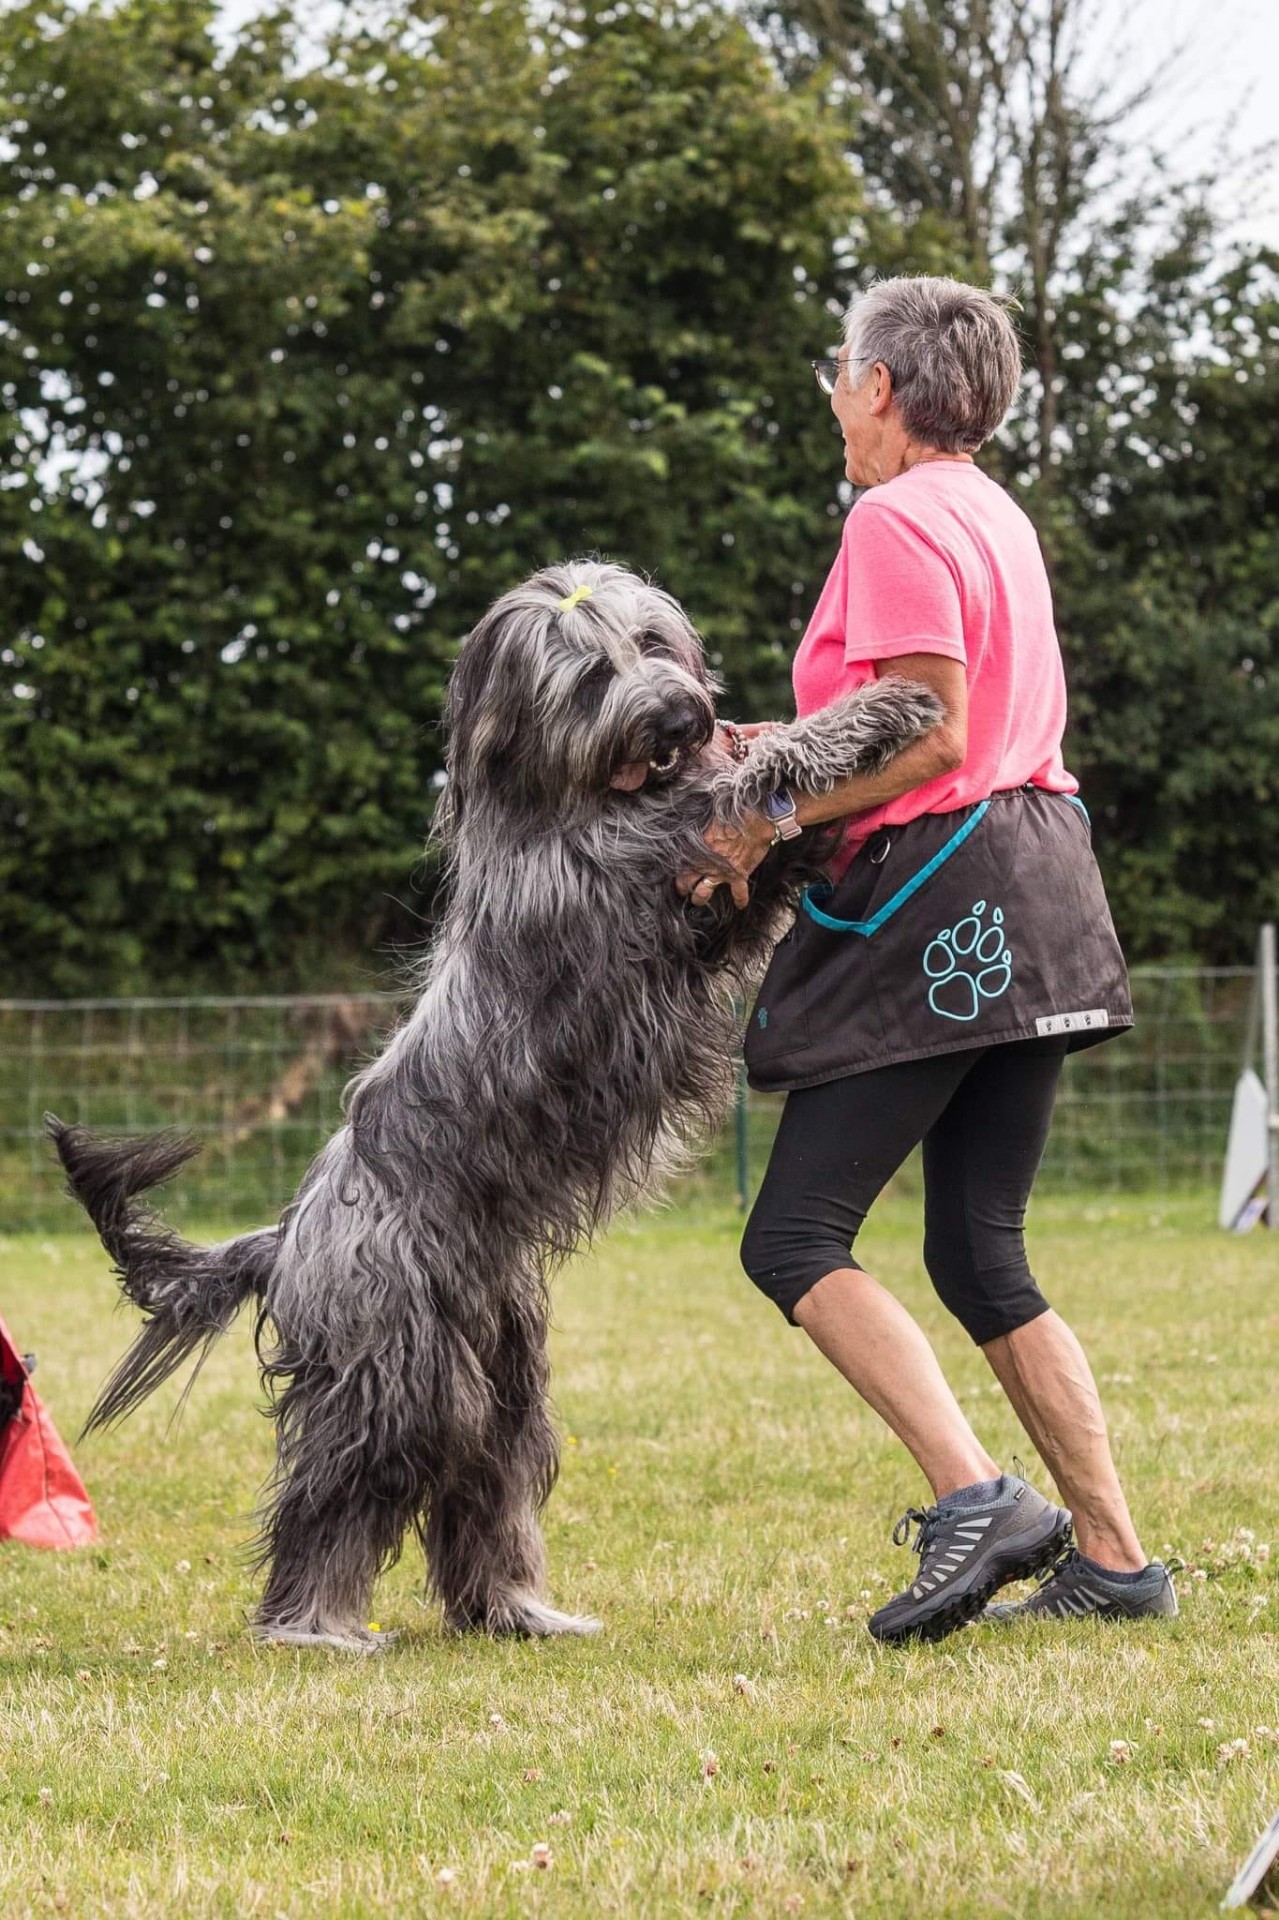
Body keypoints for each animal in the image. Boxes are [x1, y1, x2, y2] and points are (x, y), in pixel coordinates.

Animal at [47, 560, 937, 1651]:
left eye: (653, 644)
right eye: (591, 678)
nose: (679, 716)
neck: (560, 807)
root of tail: (286, 1232)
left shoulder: (707, 920)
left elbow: (760, 870)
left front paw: (833, 816)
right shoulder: (644, 858)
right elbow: (752, 779)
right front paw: (881, 713)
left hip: (497, 1360)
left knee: (488, 1474)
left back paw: (515, 1611)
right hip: (394, 1364)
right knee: (344, 1482)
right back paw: (312, 1623)